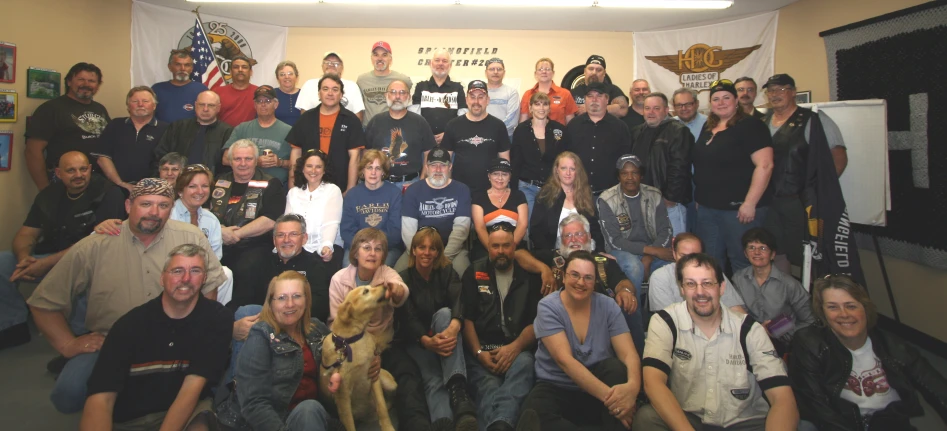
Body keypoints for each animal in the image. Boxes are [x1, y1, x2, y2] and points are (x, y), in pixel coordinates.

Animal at [320, 286, 398, 431]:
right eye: (366, 291)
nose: (385, 286)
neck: (352, 340)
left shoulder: (374, 378)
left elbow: (382, 407)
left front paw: (388, 427)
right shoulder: (343, 396)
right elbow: (349, 424)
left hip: (389, 383)